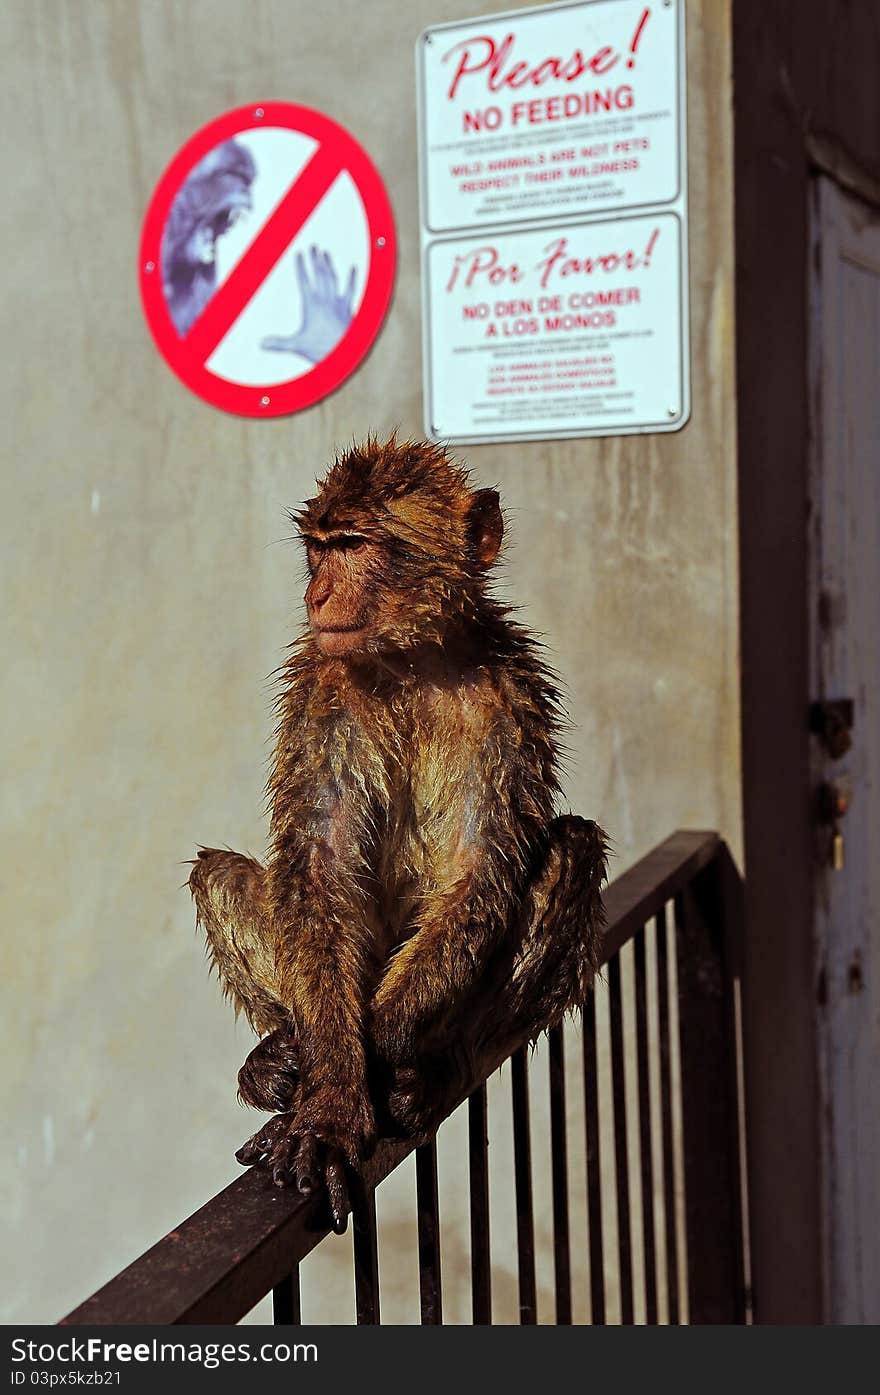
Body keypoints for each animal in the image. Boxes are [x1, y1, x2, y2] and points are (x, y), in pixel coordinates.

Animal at [189, 435, 608, 1233]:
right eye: (319, 549)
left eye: (355, 546)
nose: (317, 596)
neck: (411, 657)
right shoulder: (324, 688)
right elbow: (319, 870)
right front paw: (330, 1097)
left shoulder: (509, 693)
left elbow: (481, 869)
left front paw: (377, 1062)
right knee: (217, 871)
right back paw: (279, 1058)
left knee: (571, 847)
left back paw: (437, 1065)